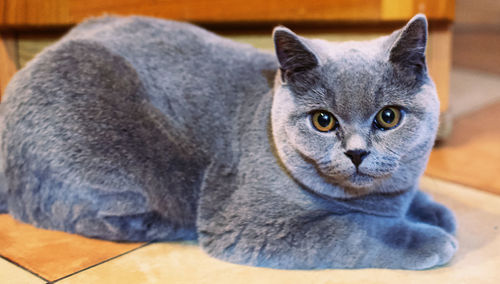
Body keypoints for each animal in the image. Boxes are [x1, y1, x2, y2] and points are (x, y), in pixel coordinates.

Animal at [0, 13, 458, 270]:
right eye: (323, 121)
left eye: (388, 117)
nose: (357, 153)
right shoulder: (254, 225)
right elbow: (354, 229)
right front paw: (430, 238)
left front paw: (437, 213)